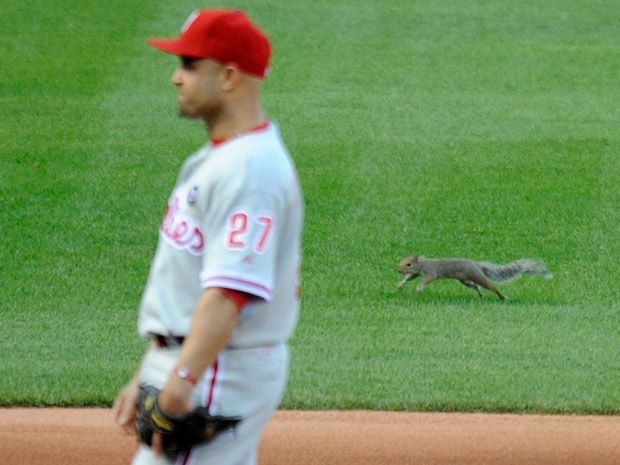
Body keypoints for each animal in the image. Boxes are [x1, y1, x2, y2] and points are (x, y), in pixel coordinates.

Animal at [400, 254, 556, 300]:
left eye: (408, 264)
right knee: (476, 286)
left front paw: (419, 288)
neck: (423, 264)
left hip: (476, 276)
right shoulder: (416, 274)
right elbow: (409, 278)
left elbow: (427, 279)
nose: (398, 269)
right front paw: (400, 285)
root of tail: (476, 265)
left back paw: (502, 296)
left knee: (491, 286)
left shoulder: (432, 272)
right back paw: (480, 294)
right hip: (465, 281)